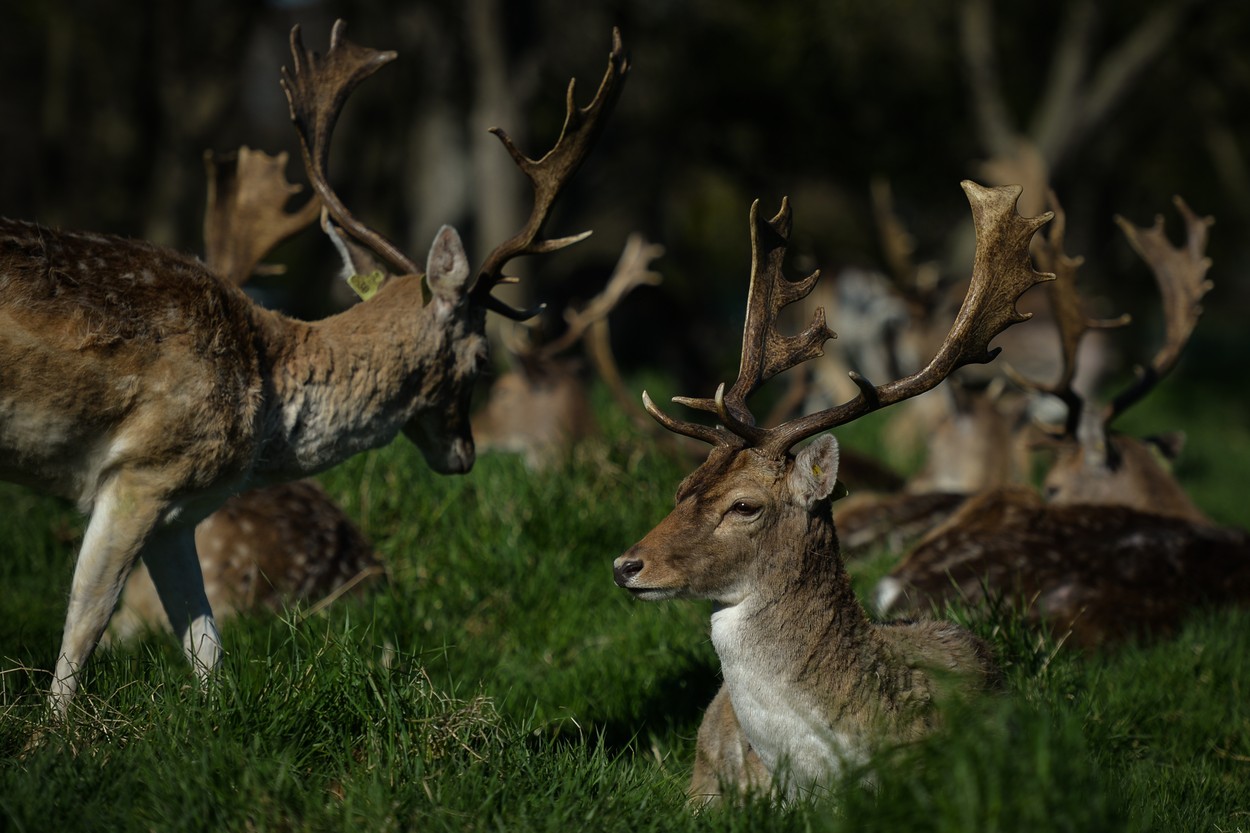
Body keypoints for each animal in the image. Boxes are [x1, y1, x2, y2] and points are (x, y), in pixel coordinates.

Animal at [0, 20, 627, 715]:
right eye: (482, 358)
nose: (466, 453)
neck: (263, 400)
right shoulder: (140, 472)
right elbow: (86, 618)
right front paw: (55, 731)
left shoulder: (178, 513)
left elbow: (205, 644)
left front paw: (215, 722)